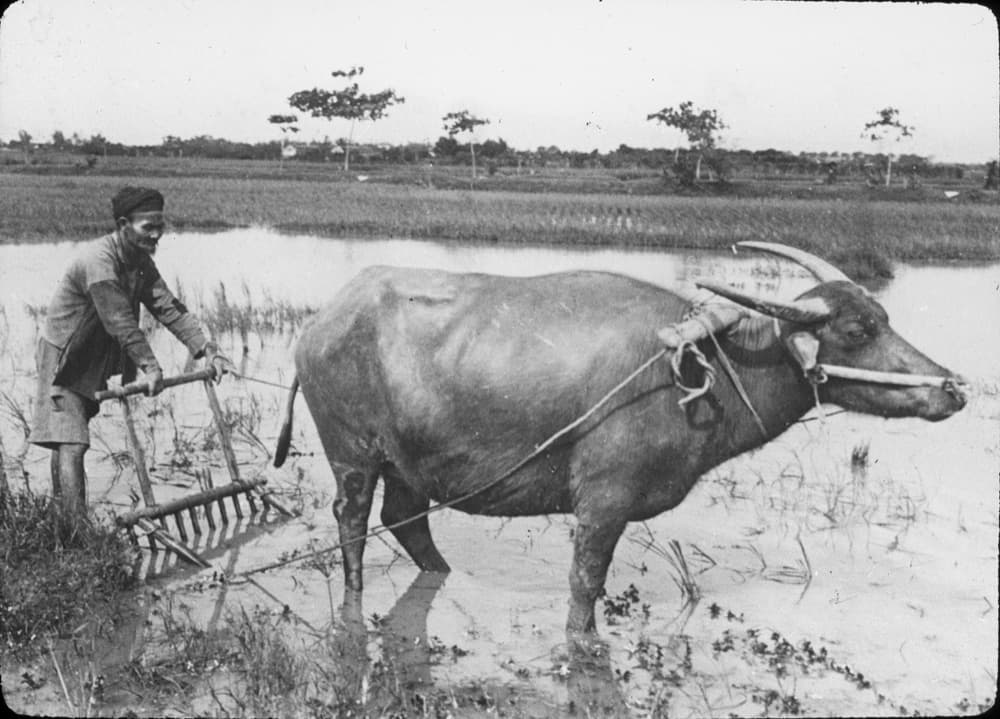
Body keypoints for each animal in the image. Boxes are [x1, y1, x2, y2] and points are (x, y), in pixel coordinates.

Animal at [274, 242, 965, 635]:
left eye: (883, 319)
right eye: (856, 331)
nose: (954, 387)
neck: (704, 367)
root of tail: (321, 322)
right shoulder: (603, 504)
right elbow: (585, 589)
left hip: (408, 462)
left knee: (407, 518)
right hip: (353, 455)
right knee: (353, 520)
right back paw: (356, 595)